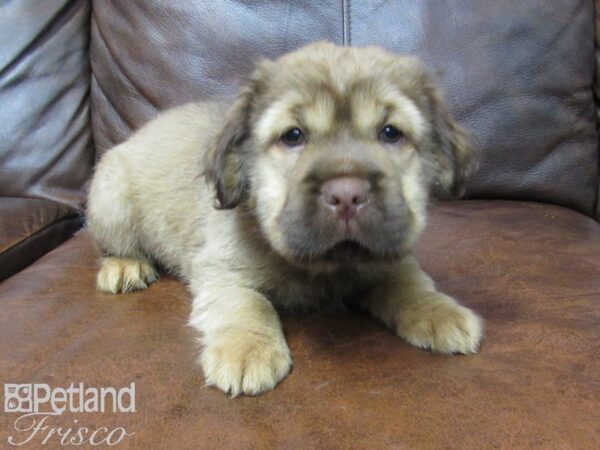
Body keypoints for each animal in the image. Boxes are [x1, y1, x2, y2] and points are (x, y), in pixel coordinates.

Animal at [86, 40, 482, 396]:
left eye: (390, 133)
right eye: (293, 136)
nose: (347, 195)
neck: (325, 268)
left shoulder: (390, 254)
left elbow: (410, 283)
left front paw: (440, 312)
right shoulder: (221, 272)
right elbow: (250, 304)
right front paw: (247, 350)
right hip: (111, 197)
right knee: (115, 245)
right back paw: (125, 266)